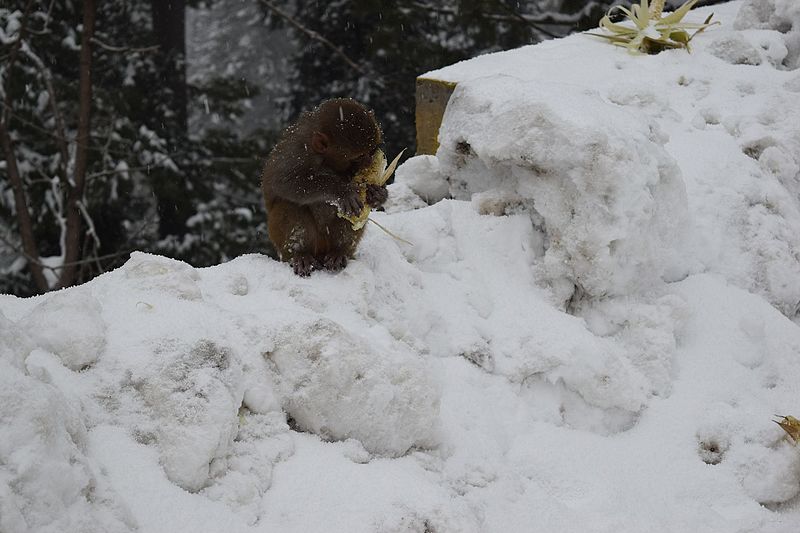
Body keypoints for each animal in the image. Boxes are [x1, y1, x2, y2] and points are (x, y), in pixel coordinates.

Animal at [260, 97, 390, 276]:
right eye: (359, 157)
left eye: (372, 151)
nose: (370, 162)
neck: (325, 160)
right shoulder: (296, 152)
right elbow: (284, 182)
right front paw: (340, 191)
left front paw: (377, 194)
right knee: (288, 206)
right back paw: (300, 254)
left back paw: (339, 252)